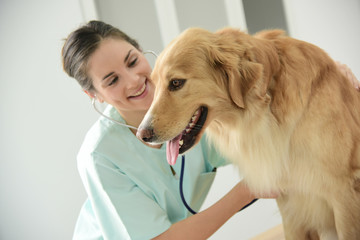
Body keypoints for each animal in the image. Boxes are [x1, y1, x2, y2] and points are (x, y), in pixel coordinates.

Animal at [136, 27, 360, 238]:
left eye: (176, 83)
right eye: (154, 85)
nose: (142, 135)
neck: (267, 109)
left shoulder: (343, 194)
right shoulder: (290, 206)